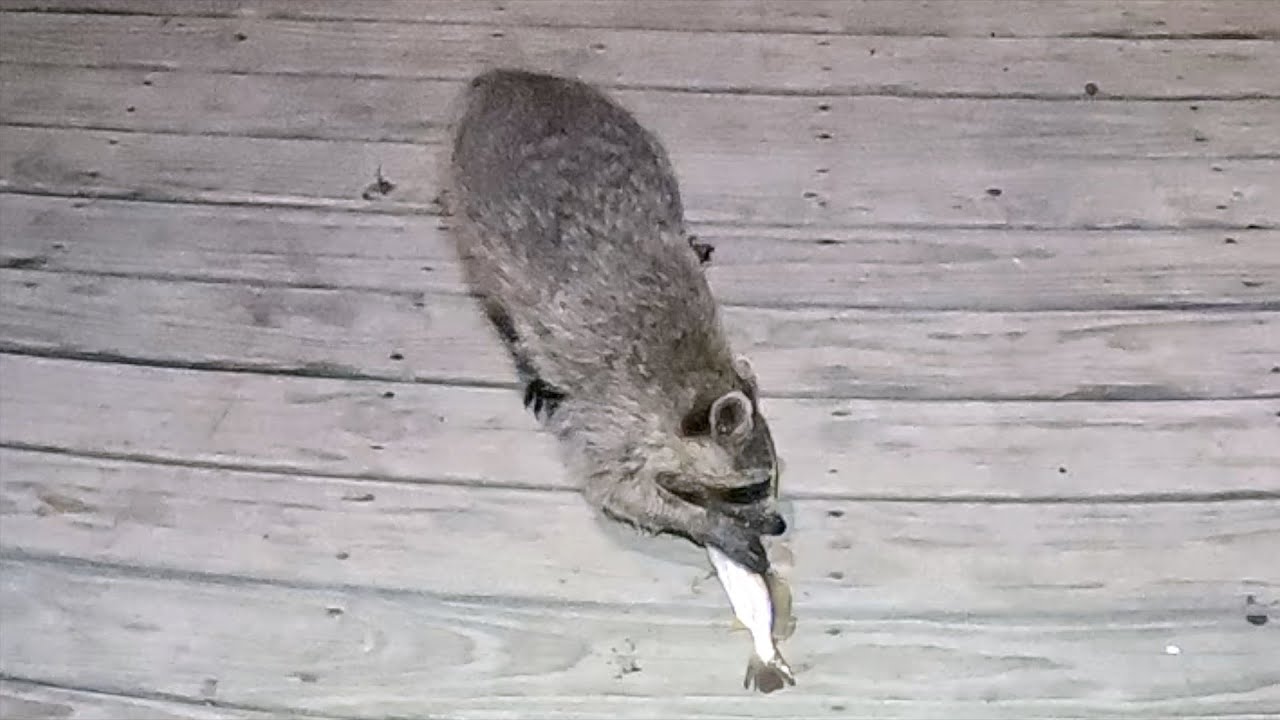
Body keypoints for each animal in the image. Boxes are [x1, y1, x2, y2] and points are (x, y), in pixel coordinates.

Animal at [442, 68, 784, 573]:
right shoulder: (614, 409)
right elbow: (615, 488)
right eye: (750, 487)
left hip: (643, 142)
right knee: (501, 298)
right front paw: (712, 525)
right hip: (472, 210)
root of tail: (512, 79)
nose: (779, 523)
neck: (696, 372)